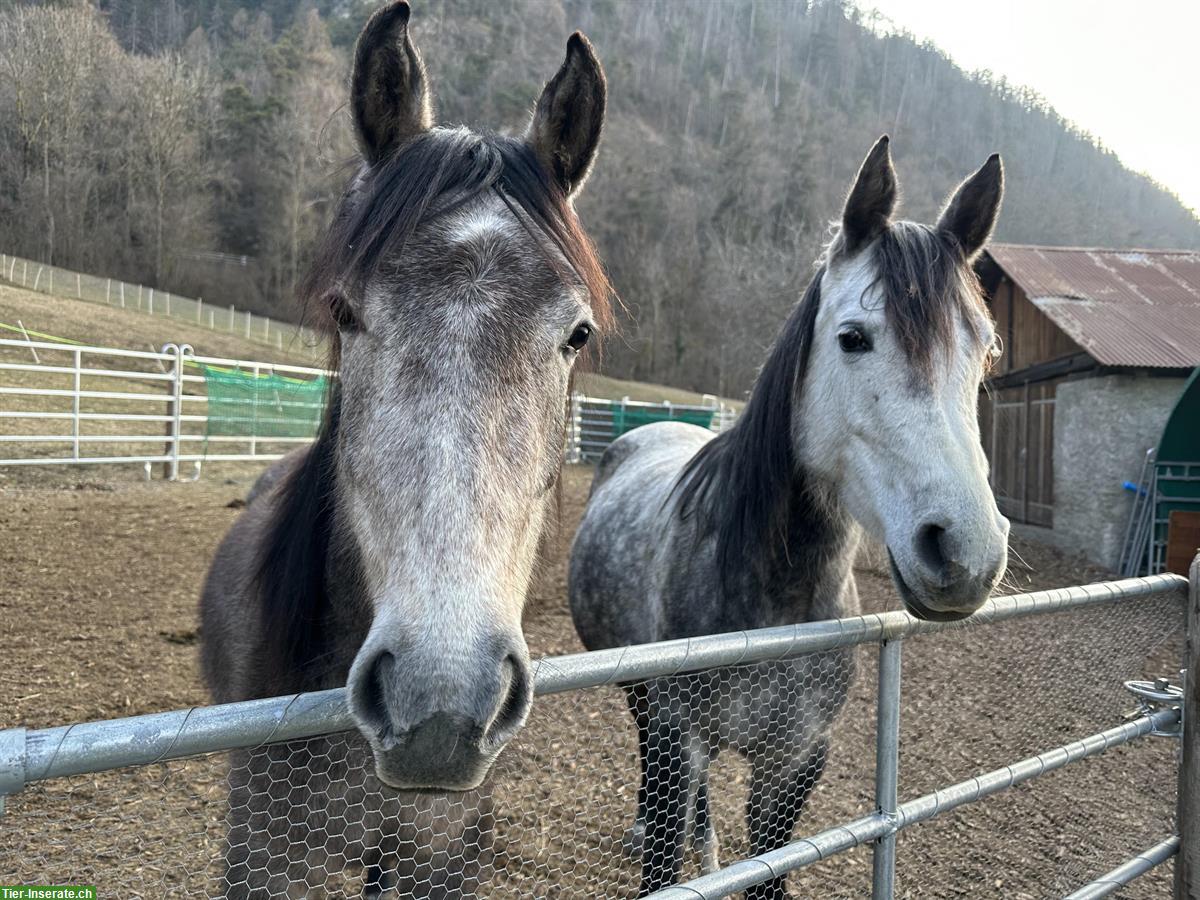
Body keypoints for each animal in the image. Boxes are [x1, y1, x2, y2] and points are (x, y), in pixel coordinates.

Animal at [568, 137, 1012, 897]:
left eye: (986, 351)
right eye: (853, 338)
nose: (965, 554)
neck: (775, 600)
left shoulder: (797, 762)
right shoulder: (676, 735)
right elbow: (663, 857)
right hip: (639, 696)